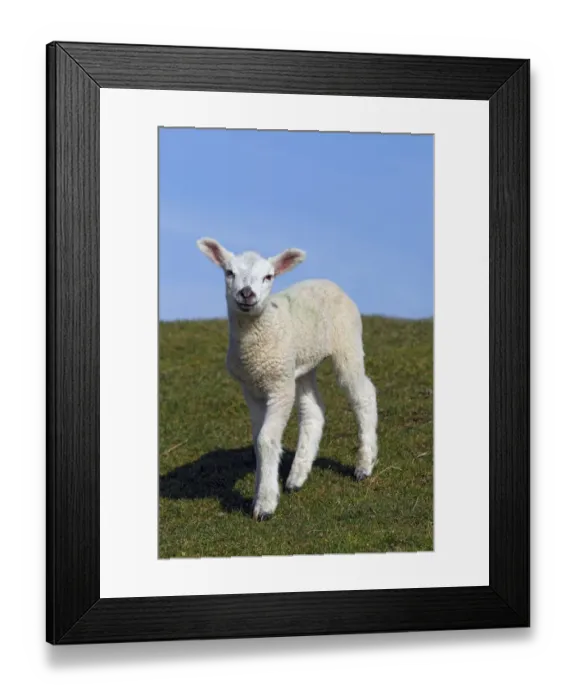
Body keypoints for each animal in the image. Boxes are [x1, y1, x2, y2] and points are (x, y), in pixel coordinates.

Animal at [196, 237, 378, 521]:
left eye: (268, 276)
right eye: (229, 272)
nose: (247, 293)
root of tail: (329, 282)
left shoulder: (279, 386)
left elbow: (266, 440)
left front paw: (265, 504)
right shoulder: (252, 388)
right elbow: (257, 441)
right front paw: (261, 489)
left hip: (347, 343)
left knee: (364, 395)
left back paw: (364, 466)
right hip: (301, 363)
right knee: (314, 411)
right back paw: (297, 477)